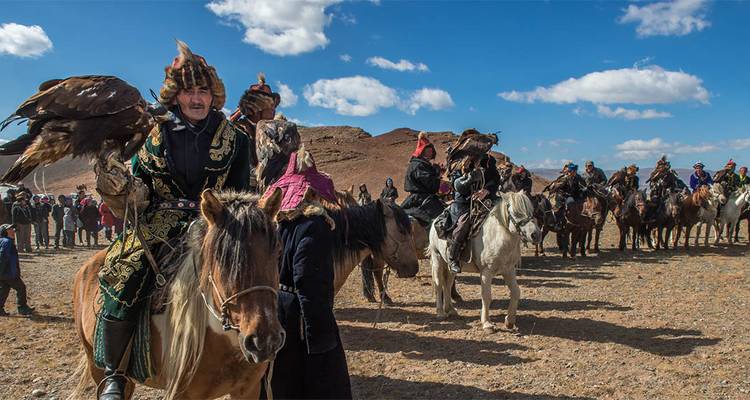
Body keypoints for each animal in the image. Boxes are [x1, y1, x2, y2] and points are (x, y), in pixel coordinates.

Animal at [71, 190, 288, 400]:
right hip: (96, 364)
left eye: (278, 251)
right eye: (219, 257)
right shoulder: (181, 393)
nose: (264, 342)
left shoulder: (248, 390)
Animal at [432, 191, 544, 332]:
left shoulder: (508, 270)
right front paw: (487, 323)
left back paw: (451, 310)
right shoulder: (486, 272)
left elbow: (516, 292)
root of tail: (436, 220)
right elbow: (486, 296)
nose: (536, 235)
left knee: (448, 283)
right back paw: (440, 312)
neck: (497, 237)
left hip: (450, 266)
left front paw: (509, 321)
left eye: (531, 211)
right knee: (438, 283)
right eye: (517, 213)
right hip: (437, 259)